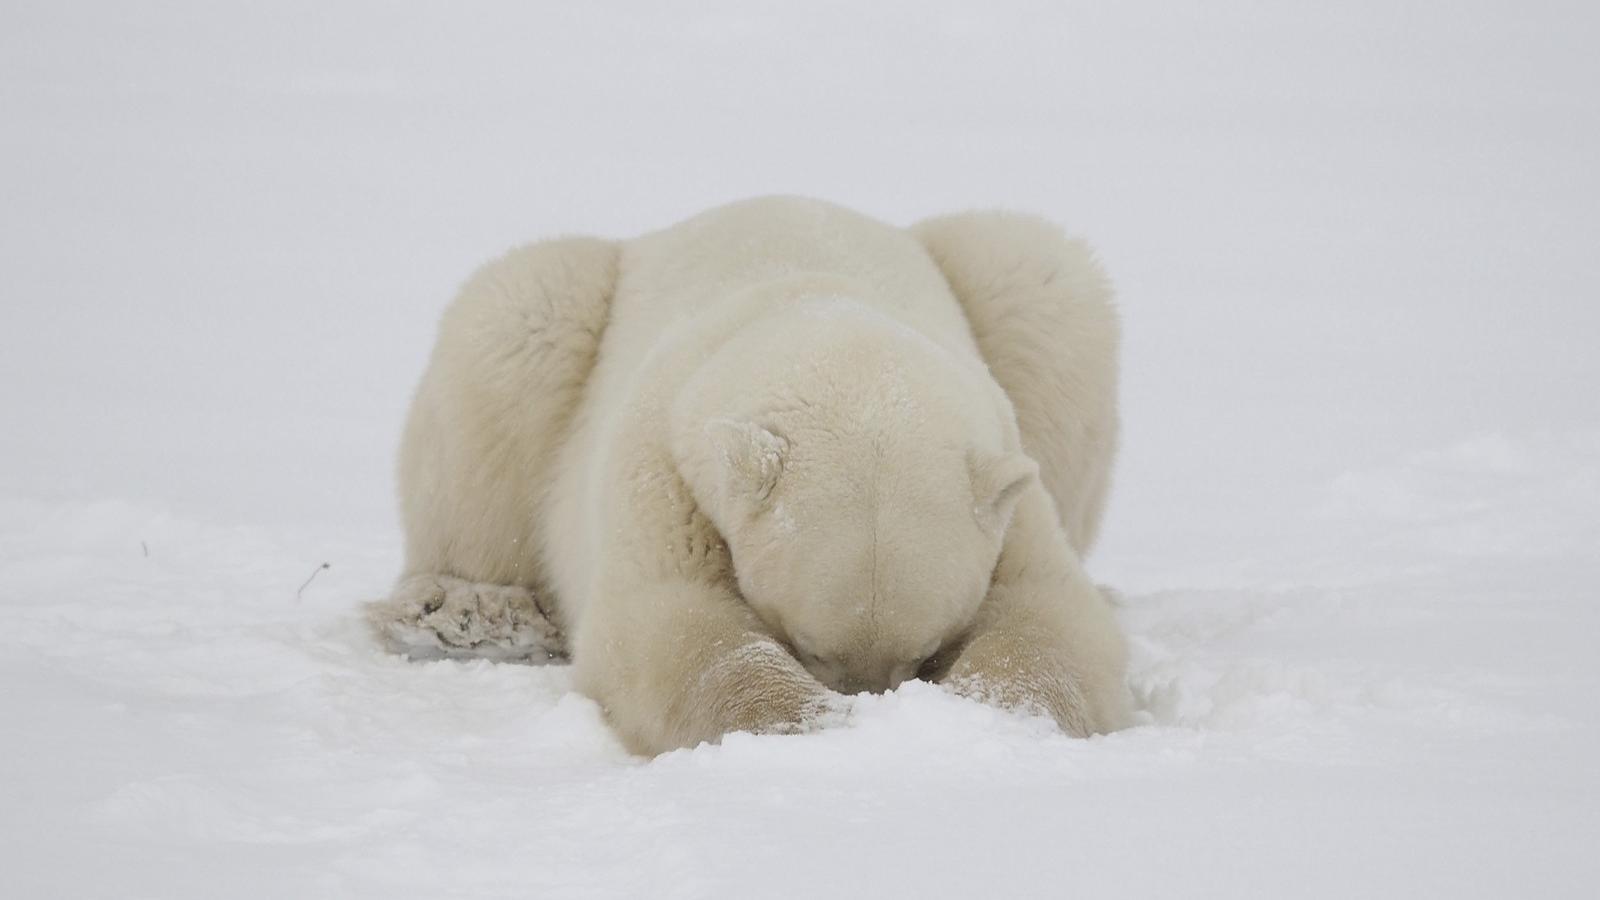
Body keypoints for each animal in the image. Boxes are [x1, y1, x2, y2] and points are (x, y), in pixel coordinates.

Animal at [368, 196, 1132, 749]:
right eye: (810, 646)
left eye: (927, 651)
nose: (869, 698)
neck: (810, 299)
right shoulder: (665, 463)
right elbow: (667, 622)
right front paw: (811, 724)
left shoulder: (1010, 483)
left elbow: (1048, 614)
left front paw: (995, 719)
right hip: (552, 324)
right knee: (513, 324)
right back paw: (469, 611)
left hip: (1014, 300)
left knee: (1043, 285)